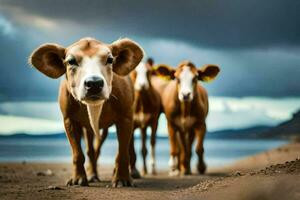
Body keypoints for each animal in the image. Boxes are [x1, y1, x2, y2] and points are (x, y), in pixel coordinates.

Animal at [28, 37, 144, 186]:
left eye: (110, 59)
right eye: (71, 61)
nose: (94, 83)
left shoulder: (126, 118)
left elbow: (122, 152)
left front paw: (122, 179)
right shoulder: (69, 119)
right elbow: (78, 153)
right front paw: (78, 178)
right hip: (88, 129)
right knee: (92, 151)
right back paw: (92, 175)